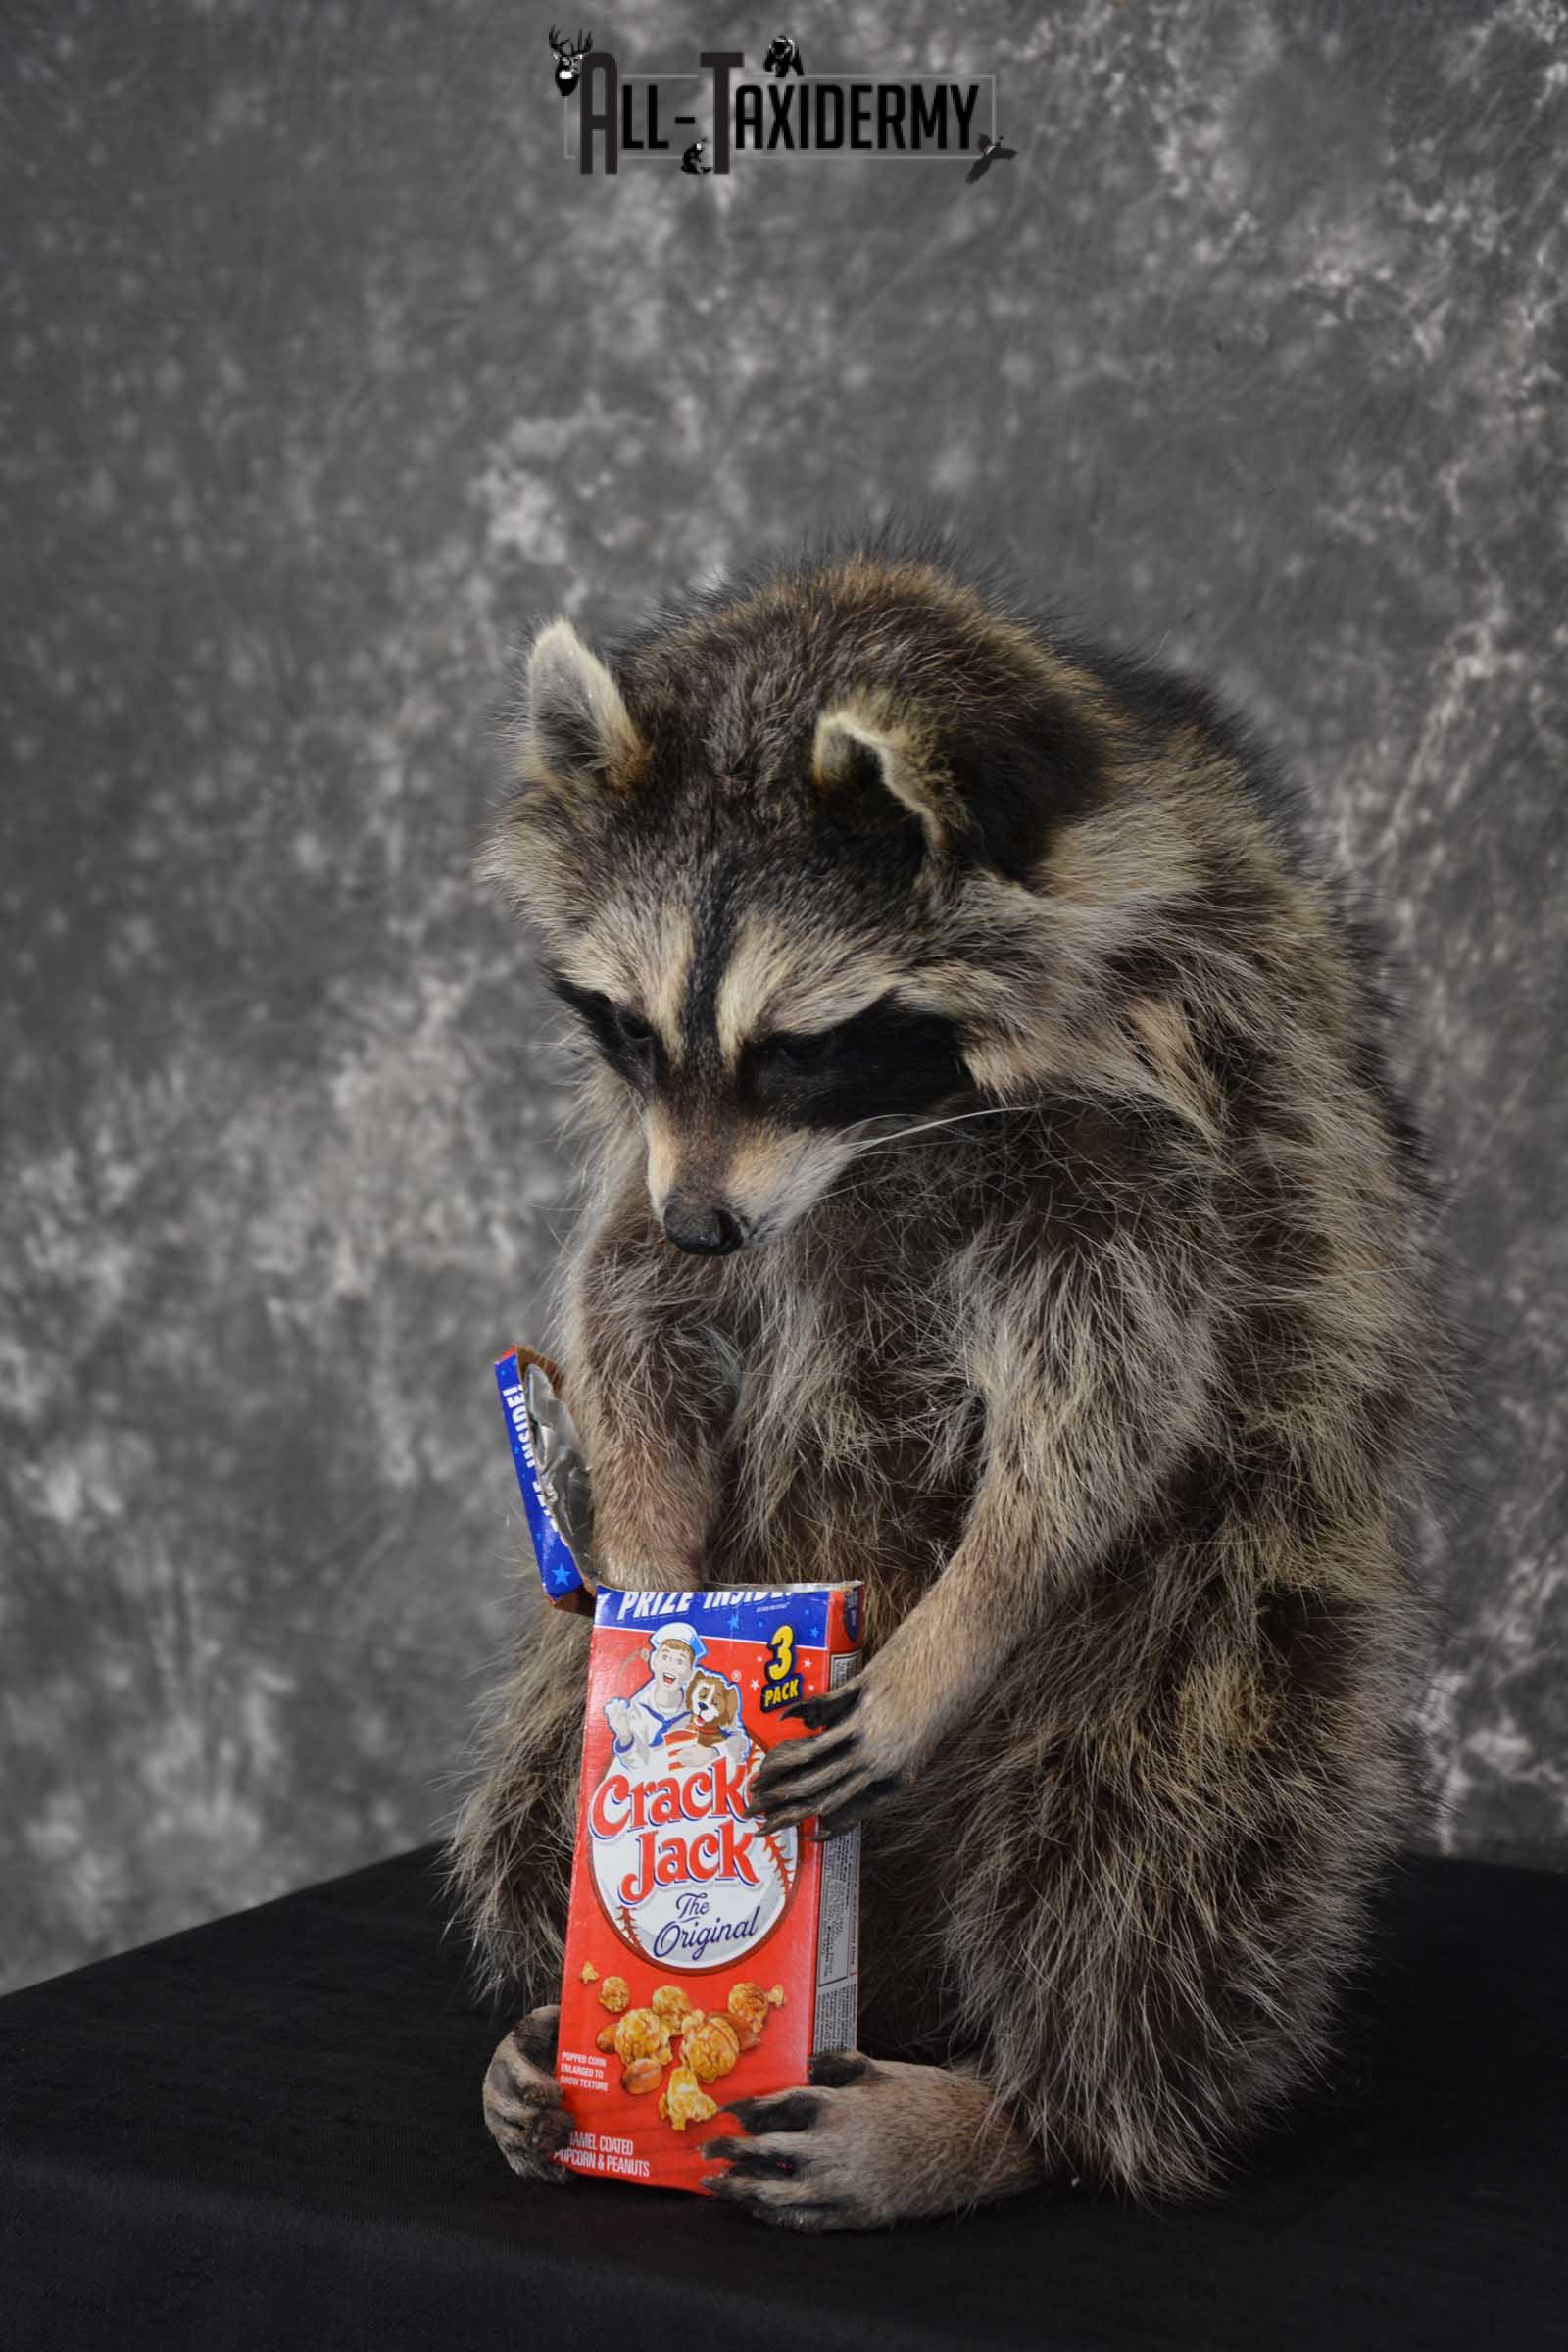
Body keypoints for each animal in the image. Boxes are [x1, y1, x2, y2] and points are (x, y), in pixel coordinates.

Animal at [445, 522, 1452, 2231]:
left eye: (801, 1045)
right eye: (629, 1025)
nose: (710, 1219)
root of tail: (903, 1971)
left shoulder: (1164, 1125)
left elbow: (1116, 1389)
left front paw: (973, 1606)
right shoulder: (661, 1158)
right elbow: (637, 1307)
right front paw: (647, 1565)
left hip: (1221, 1602)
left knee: (1156, 1837)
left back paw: (1035, 2112)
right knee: (530, 1776)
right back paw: (537, 2018)